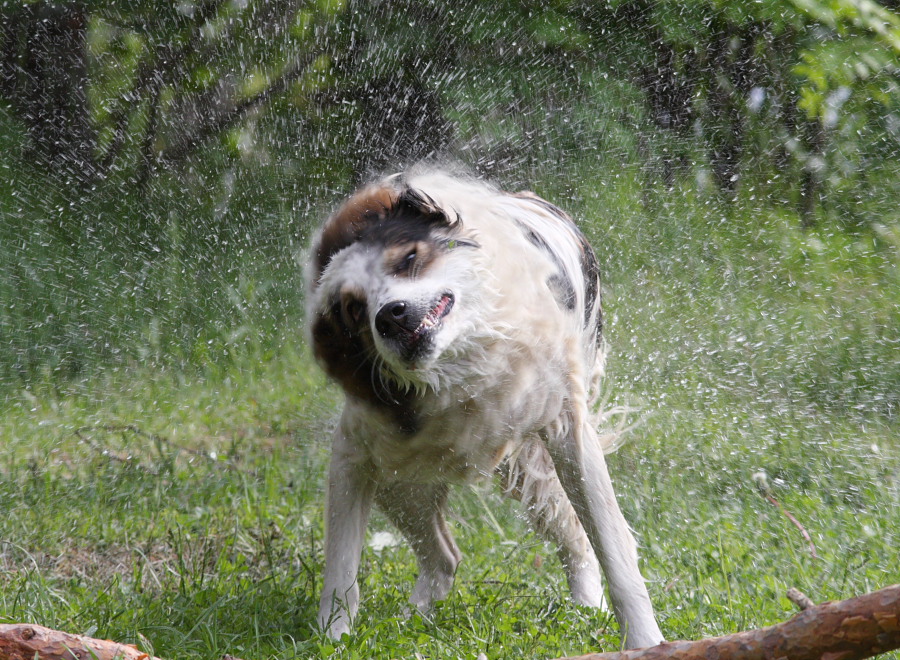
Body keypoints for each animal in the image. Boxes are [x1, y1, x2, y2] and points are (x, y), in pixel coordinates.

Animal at [306, 168, 664, 648]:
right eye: (353, 309)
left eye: (408, 258)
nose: (389, 316)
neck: (459, 367)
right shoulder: (352, 453)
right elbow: (341, 567)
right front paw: (334, 638)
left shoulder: (567, 431)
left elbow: (614, 550)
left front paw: (646, 641)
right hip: (399, 480)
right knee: (444, 558)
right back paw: (411, 622)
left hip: (522, 465)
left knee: (574, 538)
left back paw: (586, 606)